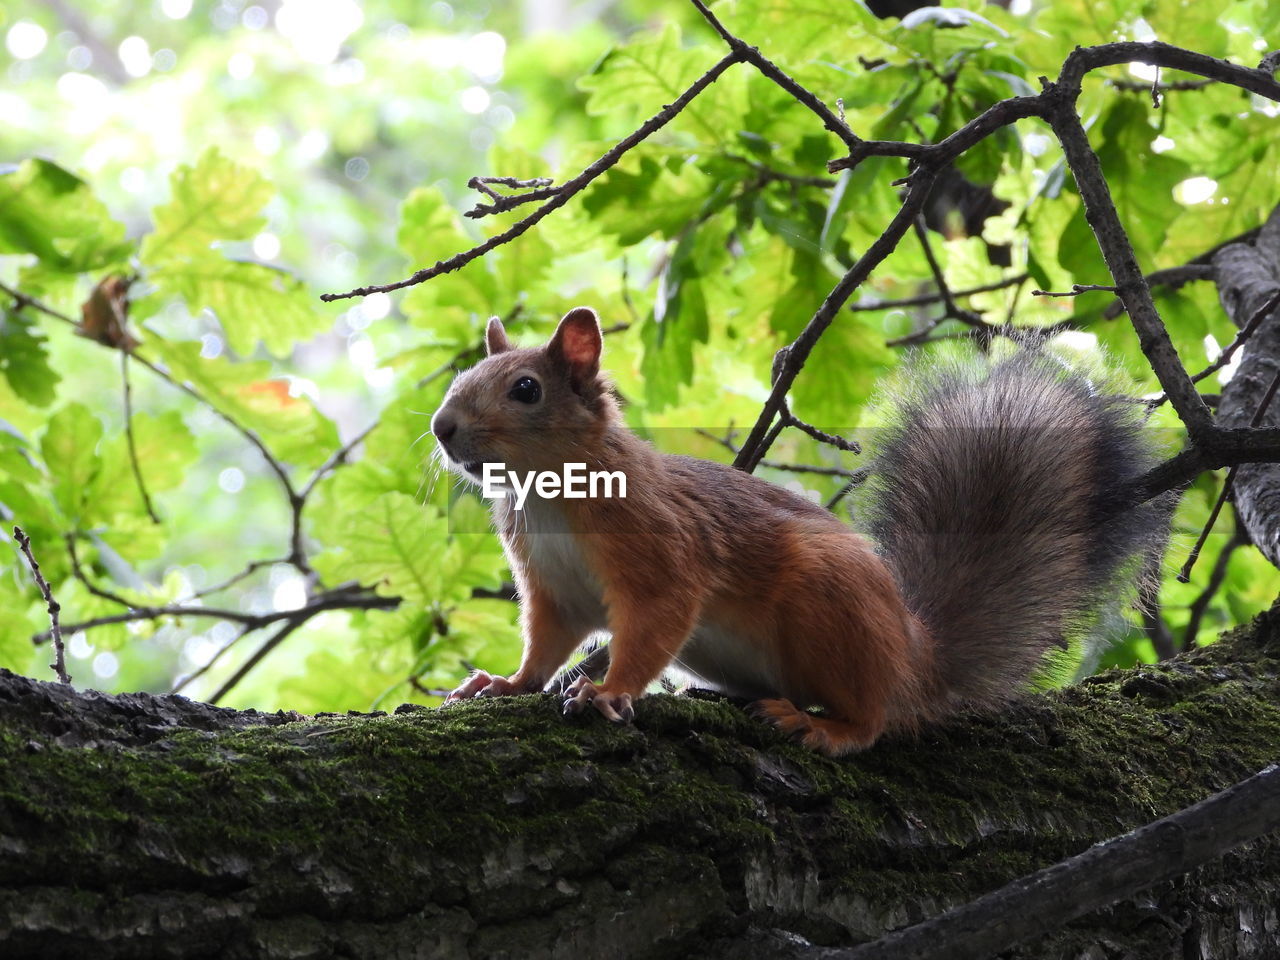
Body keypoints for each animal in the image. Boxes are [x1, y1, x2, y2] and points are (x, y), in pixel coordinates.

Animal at [435, 308, 1167, 757]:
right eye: (461, 376)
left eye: (526, 389)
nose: (442, 428)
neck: (546, 495)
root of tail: (916, 658)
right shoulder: (552, 588)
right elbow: (546, 644)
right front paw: (506, 684)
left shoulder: (662, 550)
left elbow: (653, 625)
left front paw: (609, 691)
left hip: (830, 606)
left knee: (874, 720)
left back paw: (822, 727)